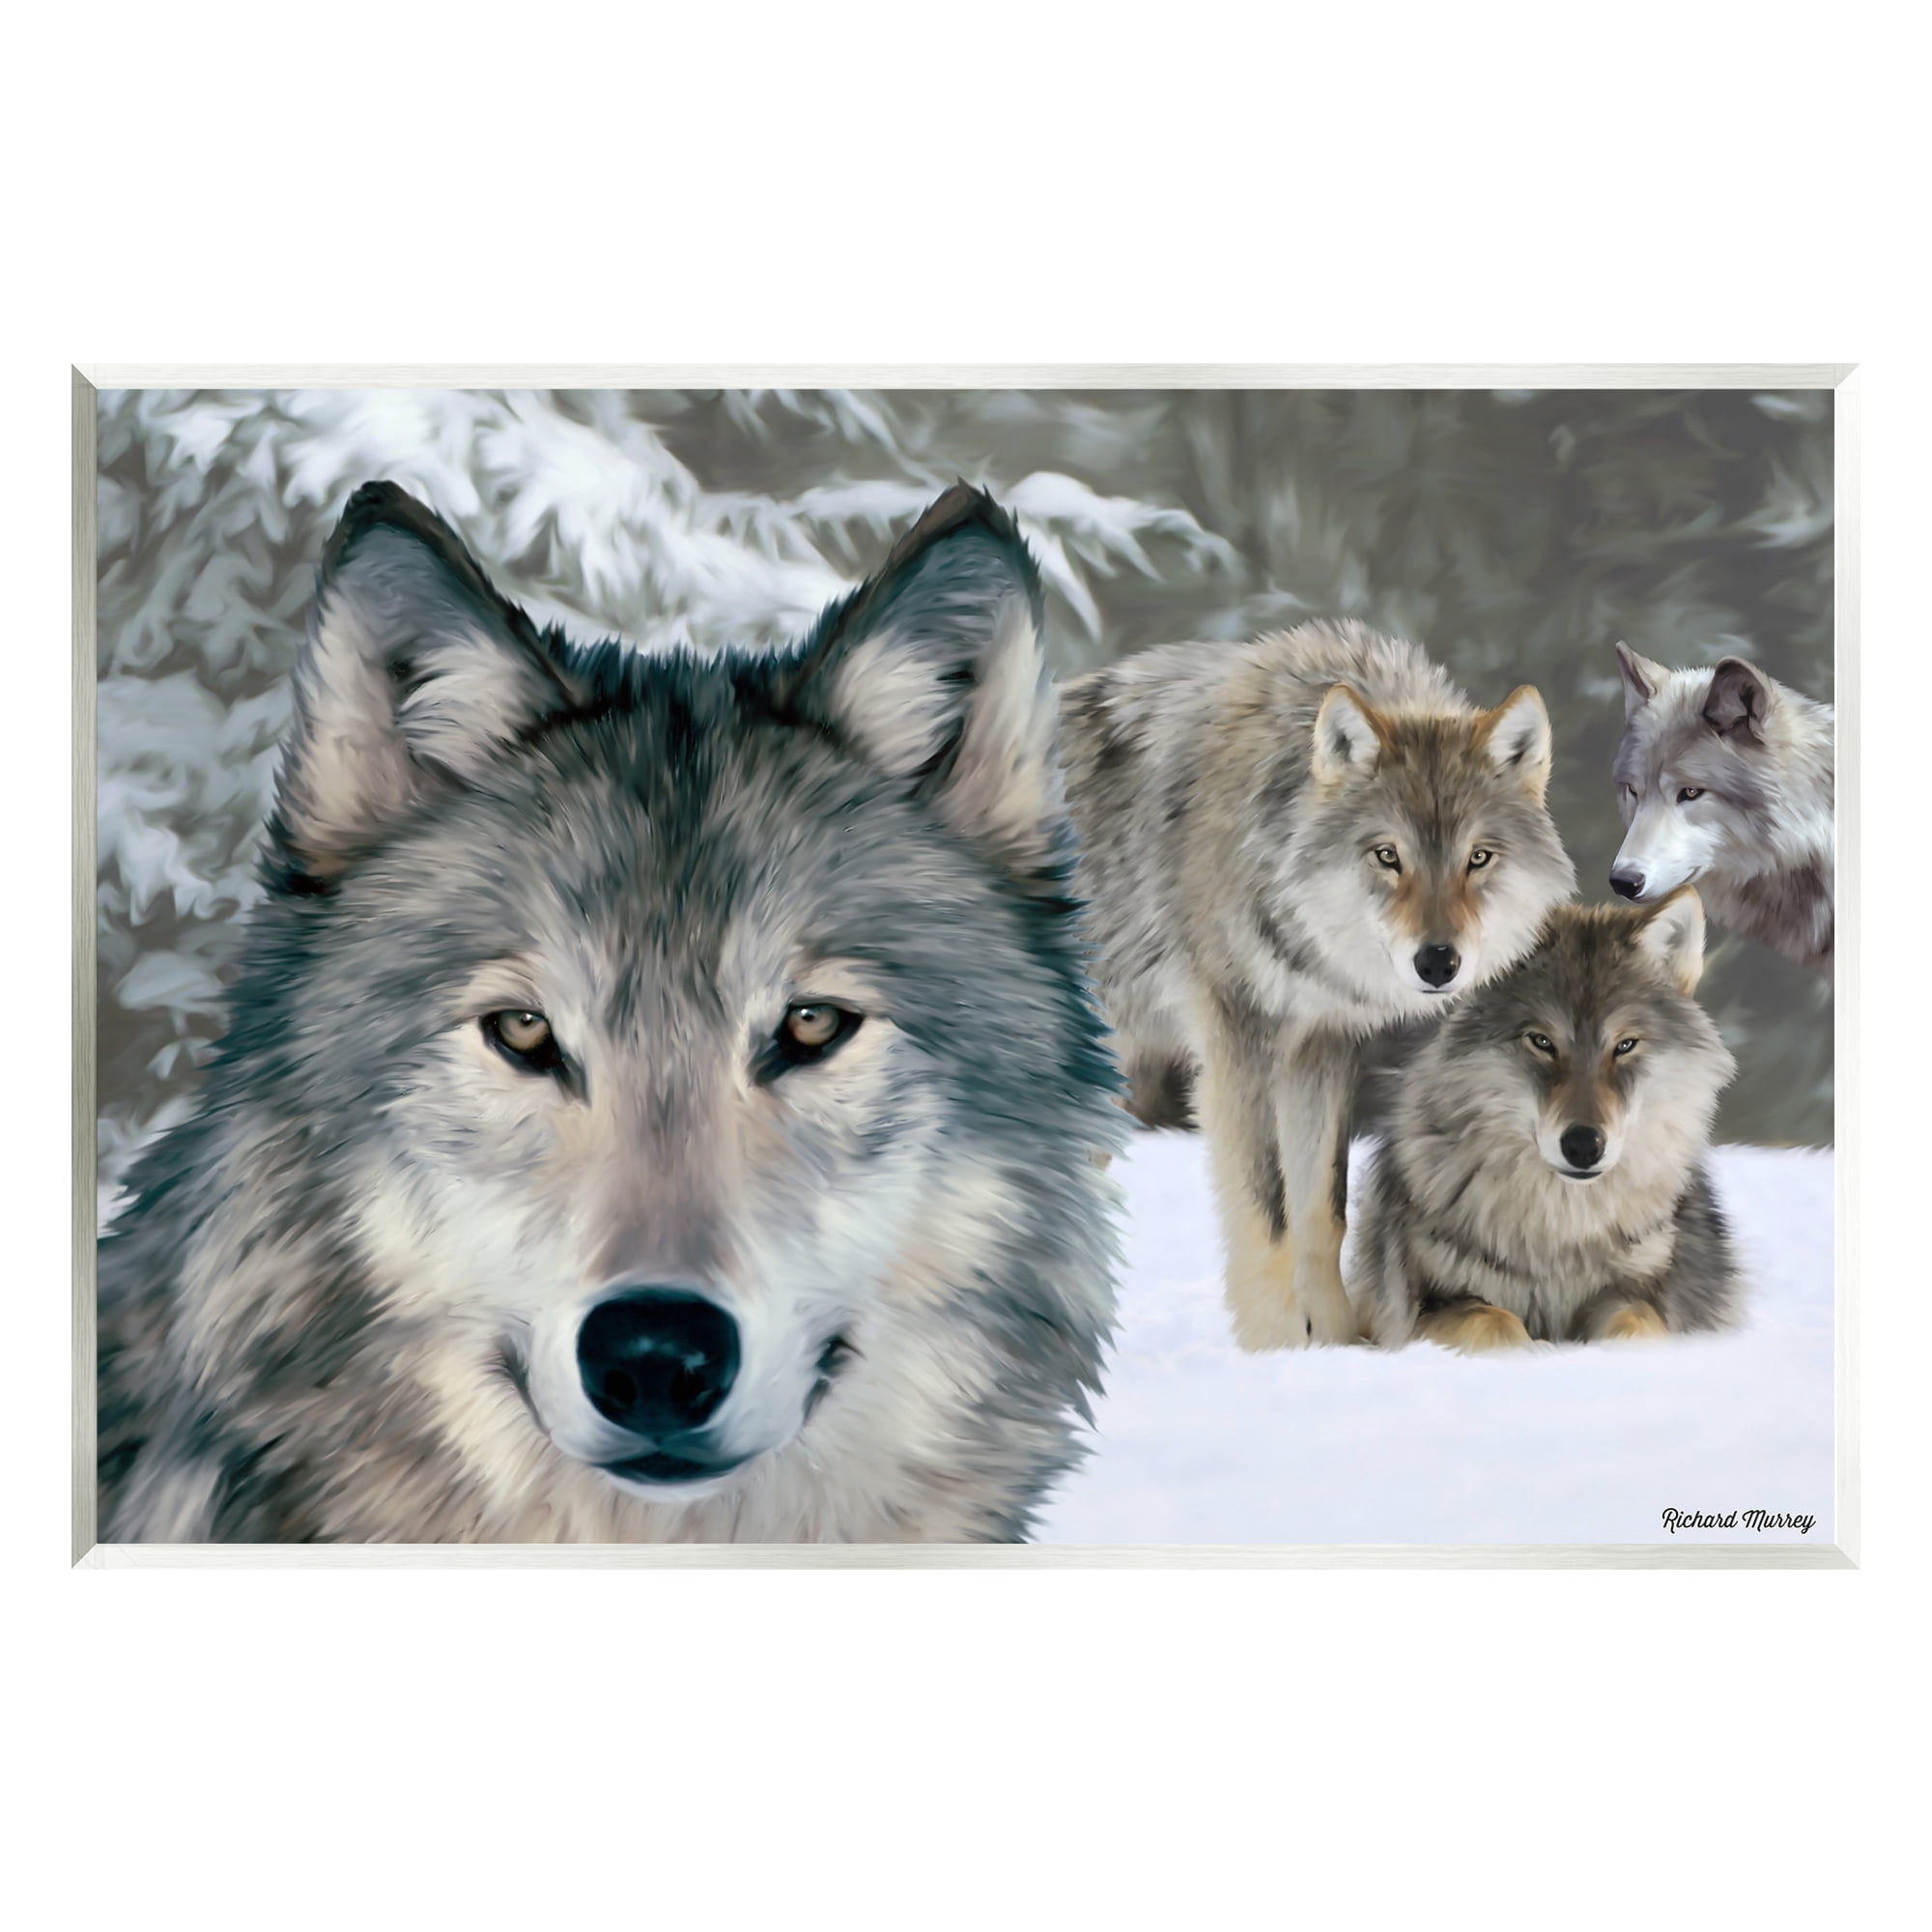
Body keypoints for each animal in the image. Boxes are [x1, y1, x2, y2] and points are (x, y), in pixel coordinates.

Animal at [1058, 621, 1575, 1352]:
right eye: (1388, 856)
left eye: (1478, 858)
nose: (1438, 962)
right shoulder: (1238, 1039)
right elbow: (1267, 1214)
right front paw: (1275, 1348)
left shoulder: (1321, 1044)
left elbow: (1322, 1214)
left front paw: (1333, 1344)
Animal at [1350, 892, 1741, 1352]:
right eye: (1541, 1041)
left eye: (1625, 1045)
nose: (1584, 1145)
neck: (1562, 1234)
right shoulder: (1423, 1309)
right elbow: (1492, 1320)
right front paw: (1532, 1350)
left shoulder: (1638, 1292)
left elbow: (1638, 1324)